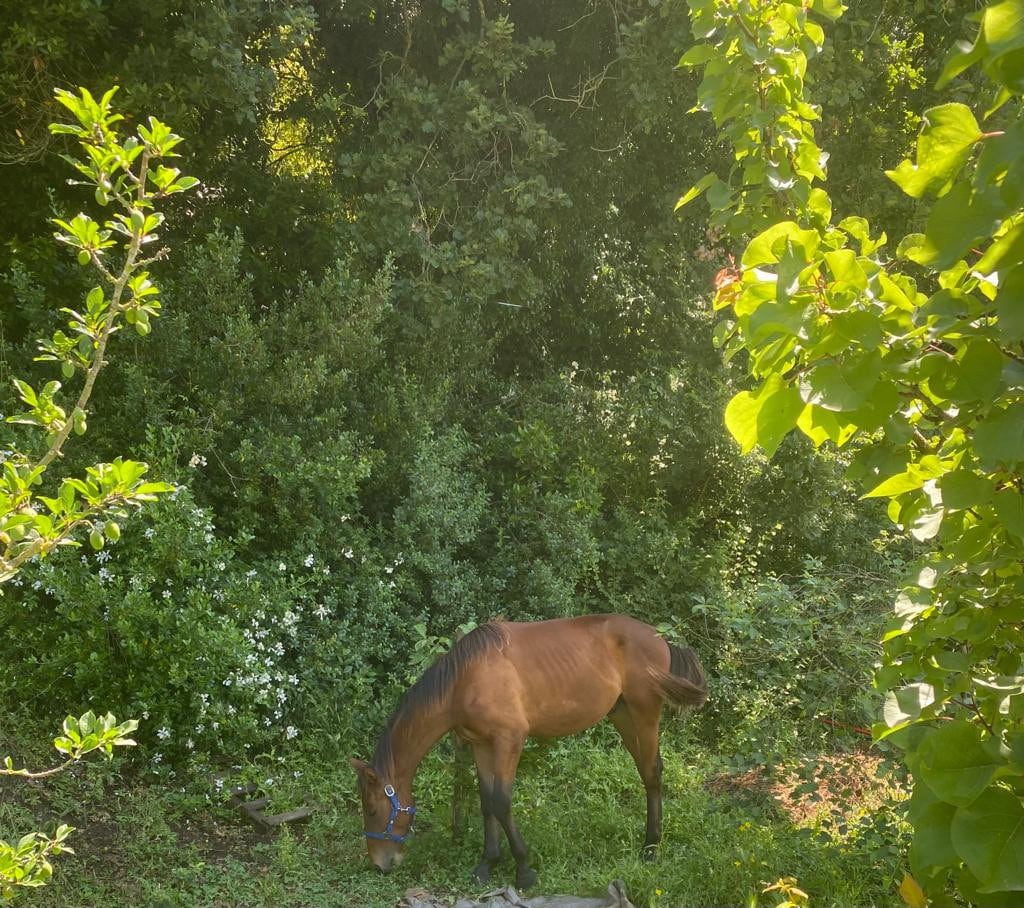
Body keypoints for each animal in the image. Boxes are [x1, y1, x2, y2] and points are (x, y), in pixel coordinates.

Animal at [350, 610, 704, 888]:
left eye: (372, 810)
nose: (380, 864)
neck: (464, 679)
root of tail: (660, 638)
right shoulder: (481, 744)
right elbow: (486, 801)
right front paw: (487, 865)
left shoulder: (510, 740)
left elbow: (501, 801)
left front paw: (523, 869)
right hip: (623, 715)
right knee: (647, 771)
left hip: (644, 713)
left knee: (653, 772)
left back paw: (651, 848)